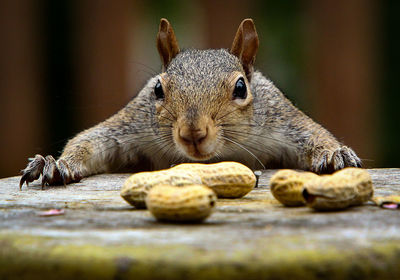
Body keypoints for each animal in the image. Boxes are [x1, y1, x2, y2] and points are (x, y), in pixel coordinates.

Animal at [19, 18, 362, 189]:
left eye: (241, 87)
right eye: (158, 89)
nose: (192, 133)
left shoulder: (281, 118)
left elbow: (313, 134)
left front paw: (335, 154)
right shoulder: (132, 123)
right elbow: (91, 142)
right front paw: (55, 164)